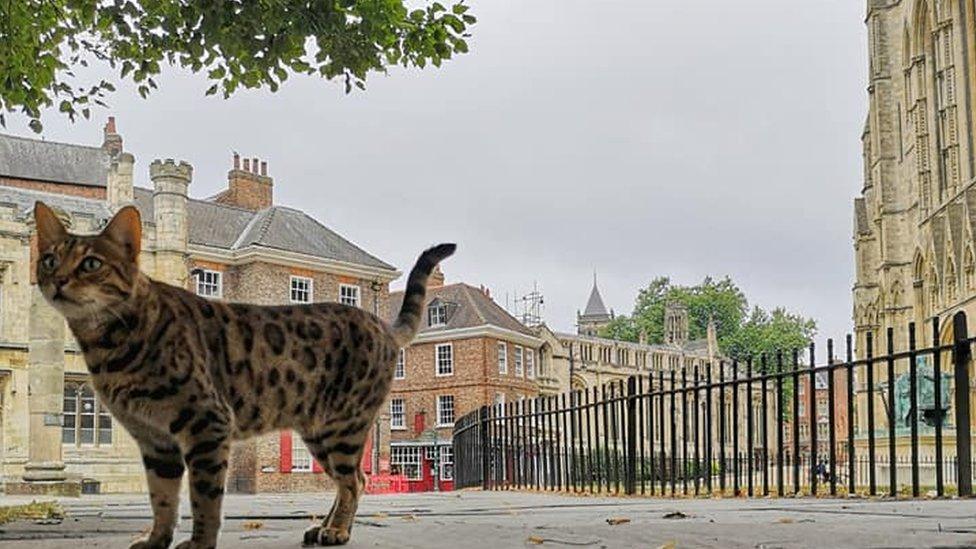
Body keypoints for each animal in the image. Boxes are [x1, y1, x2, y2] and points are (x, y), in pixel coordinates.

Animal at [32, 202, 456, 548]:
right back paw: (325, 528)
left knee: (355, 481)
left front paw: (199, 543)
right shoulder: (156, 442)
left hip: (342, 426)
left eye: (91, 263)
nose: (57, 280)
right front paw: (156, 540)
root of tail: (382, 324)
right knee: (349, 480)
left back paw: (337, 532)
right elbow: (163, 499)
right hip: (320, 431)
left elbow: (204, 499)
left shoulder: (207, 424)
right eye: (49, 259)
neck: (112, 342)